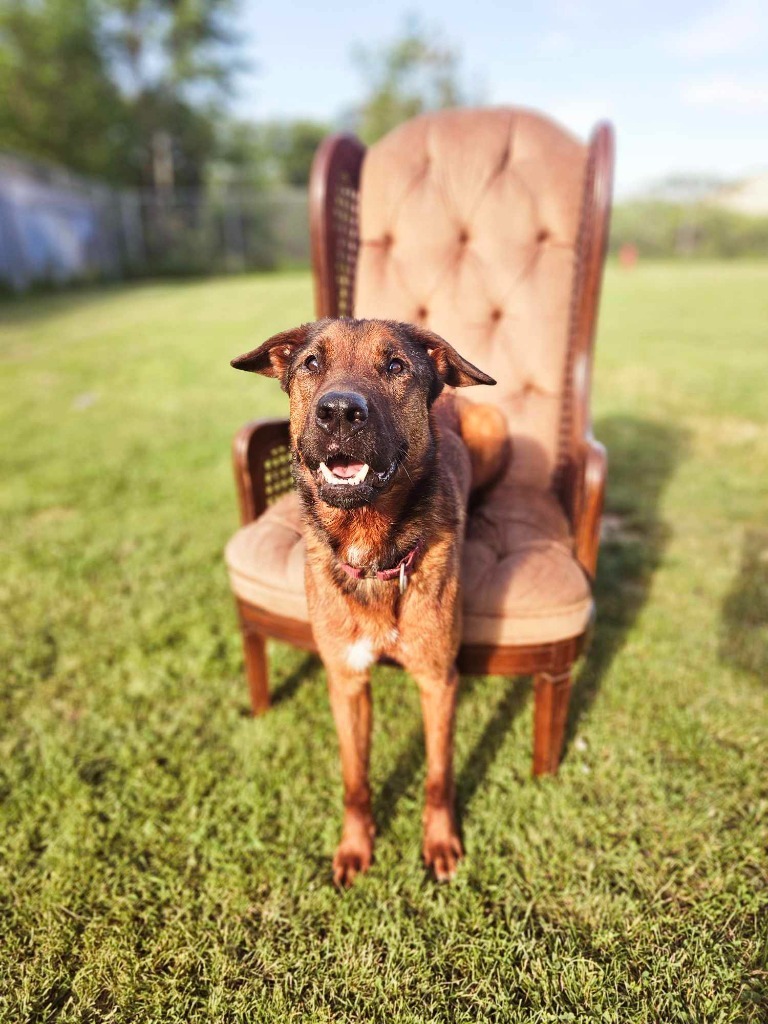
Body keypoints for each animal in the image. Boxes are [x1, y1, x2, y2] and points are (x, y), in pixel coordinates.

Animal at [234, 315, 512, 884]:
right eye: (311, 362)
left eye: (396, 366)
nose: (340, 411)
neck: (371, 546)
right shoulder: (346, 681)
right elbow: (355, 779)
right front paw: (355, 847)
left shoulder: (438, 681)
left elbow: (437, 774)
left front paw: (440, 842)